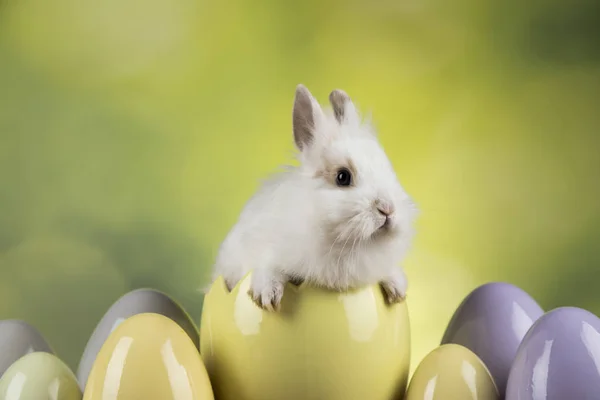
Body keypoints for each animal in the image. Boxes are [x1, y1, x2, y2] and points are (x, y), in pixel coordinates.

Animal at [212, 83, 418, 310]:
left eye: (387, 168)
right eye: (342, 177)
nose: (387, 209)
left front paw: (397, 290)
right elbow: (268, 268)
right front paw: (268, 297)